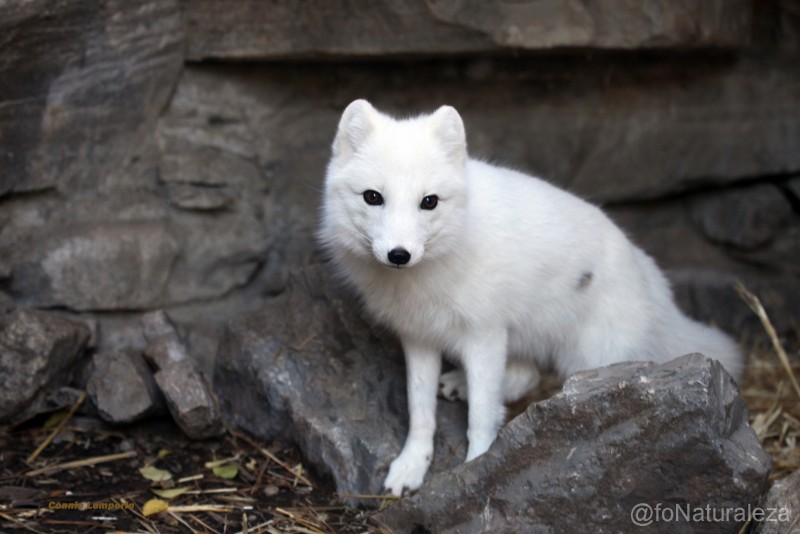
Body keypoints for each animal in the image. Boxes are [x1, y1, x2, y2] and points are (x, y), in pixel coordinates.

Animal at [318, 99, 744, 498]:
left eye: (429, 201)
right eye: (373, 197)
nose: (399, 254)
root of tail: (646, 273)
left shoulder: (485, 335)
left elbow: (481, 418)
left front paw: (475, 471)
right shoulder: (419, 336)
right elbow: (419, 410)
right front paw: (410, 467)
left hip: (594, 360)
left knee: (529, 379)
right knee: (527, 374)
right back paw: (458, 384)